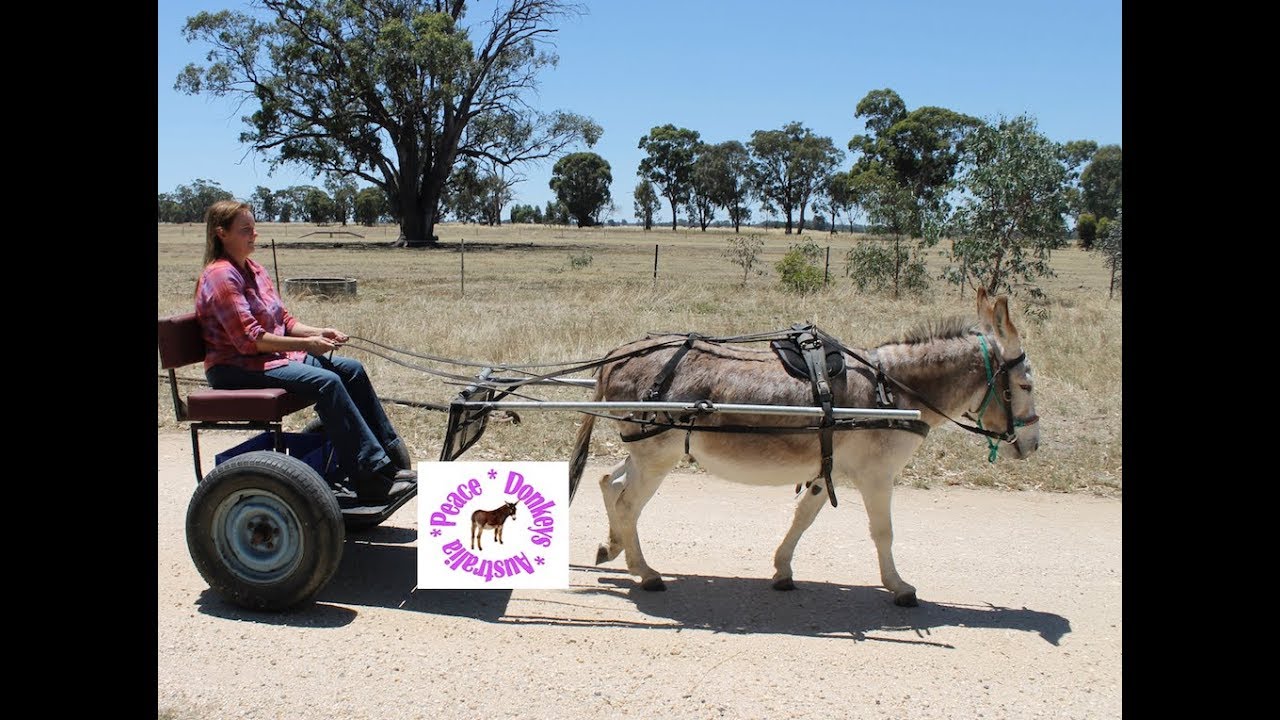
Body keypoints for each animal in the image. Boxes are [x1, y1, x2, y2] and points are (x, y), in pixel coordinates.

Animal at [569, 288, 1040, 606]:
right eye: (1026, 385)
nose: (1032, 446)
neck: (893, 390)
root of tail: (619, 353)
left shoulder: (825, 469)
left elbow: (803, 518)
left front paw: (782, 571)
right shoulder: (876, 476)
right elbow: (883, 532)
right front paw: (899, 587)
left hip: (646, 450)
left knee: (610, 482)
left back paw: (613, 548)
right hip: (657, 455)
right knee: (628, 503)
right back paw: (645, 573)